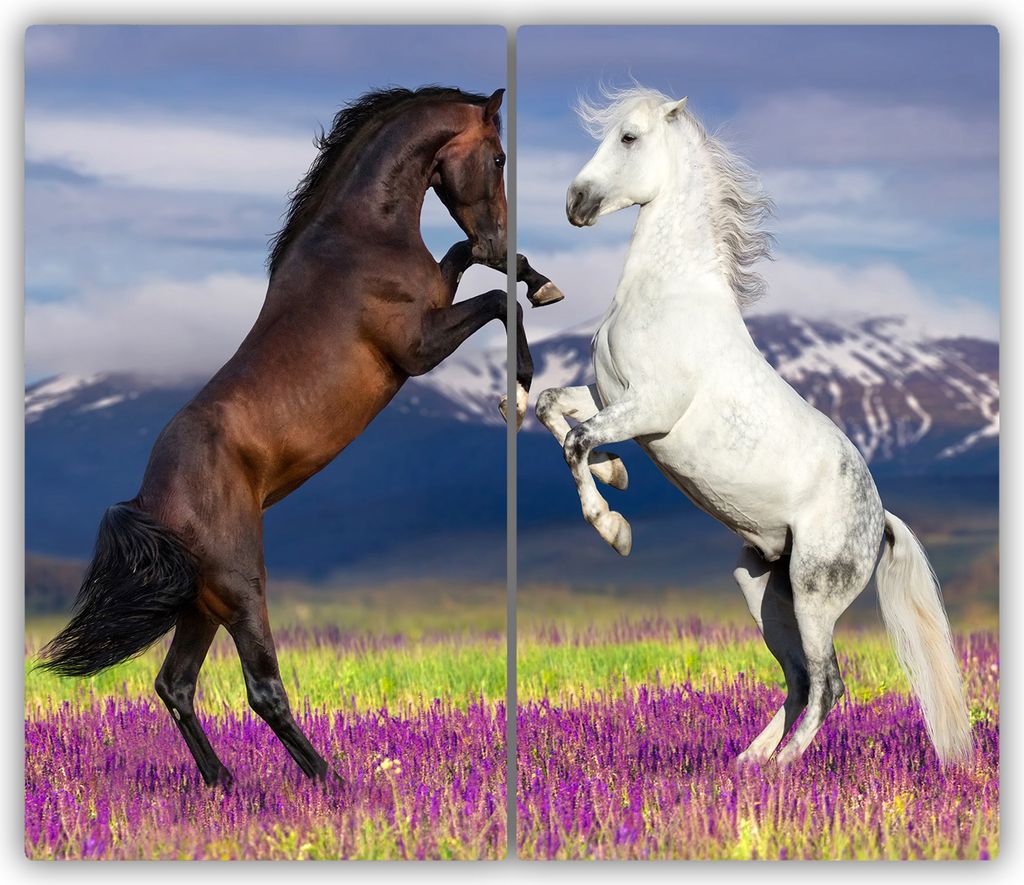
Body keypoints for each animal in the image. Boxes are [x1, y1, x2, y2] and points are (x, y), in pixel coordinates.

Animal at [38, 85, 555, 787]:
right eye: (499, 158)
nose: (500, 231)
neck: (361, 236)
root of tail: (149, 501)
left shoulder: (438, 295)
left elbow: (473, 265)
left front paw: (538, 277)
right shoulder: (417, 346)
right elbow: (501, 304)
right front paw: (519, 389)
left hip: (202, 604)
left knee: (176, 685)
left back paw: (224, 785)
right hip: (241, 588)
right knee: (261, 689)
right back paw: (332, 781)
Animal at [536, 86, 972, 767]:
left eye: (629, 137)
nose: (575, 203)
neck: (668, 293)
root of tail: (880, 519)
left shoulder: (650, 408)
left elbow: (577, 440)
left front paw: (615, 529)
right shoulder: (612, 397)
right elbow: (552, 406)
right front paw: (618, 475)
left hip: (816, 593)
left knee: (828, 682)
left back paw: (784, 768)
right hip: (762, 586)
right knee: (797, 679)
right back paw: (748, 764)